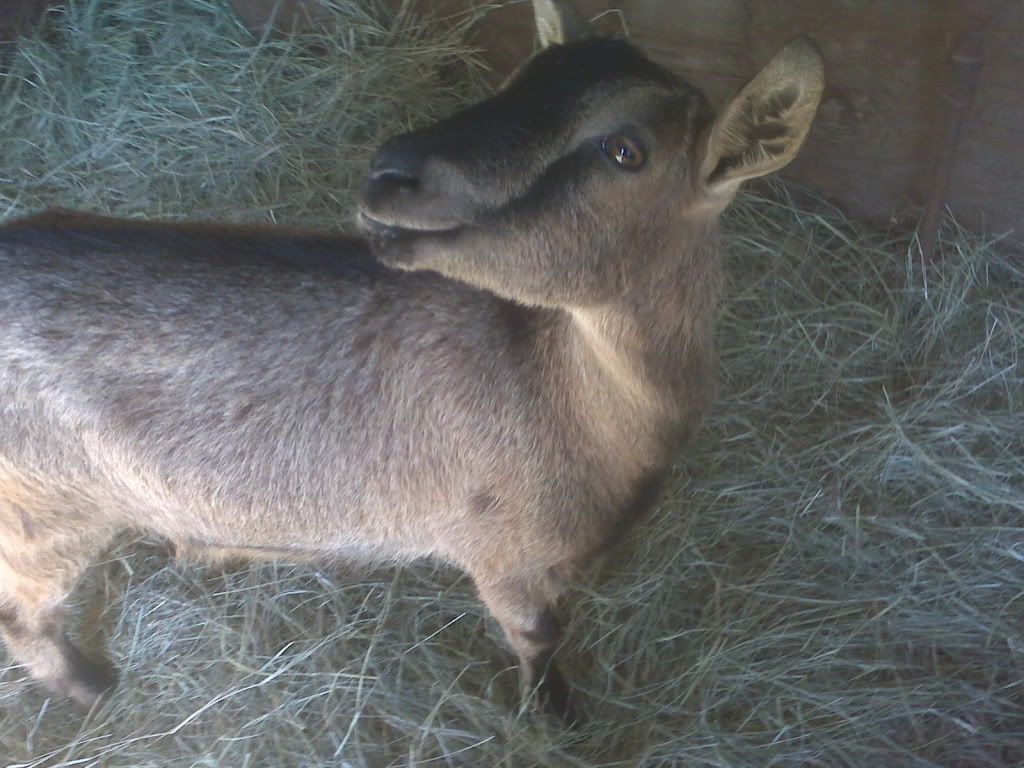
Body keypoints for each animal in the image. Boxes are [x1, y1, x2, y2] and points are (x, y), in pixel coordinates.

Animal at [0, 0, 823, 722]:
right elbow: (538, 639)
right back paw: (90, 688)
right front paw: (557, 715)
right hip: (47, 513)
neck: (578, 397)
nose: (390, 171)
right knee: (21, 613)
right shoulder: (502, 556)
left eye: (627, 150)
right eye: (520, 75)